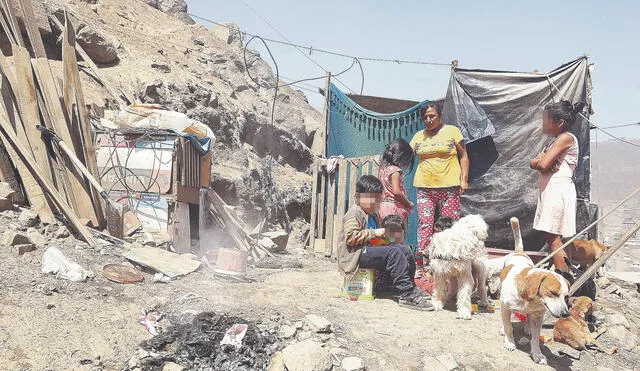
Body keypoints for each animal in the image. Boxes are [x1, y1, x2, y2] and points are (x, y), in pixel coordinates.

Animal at [500, 218, 568, 366]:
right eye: (553, 292)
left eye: (567, 297)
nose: (566, 314)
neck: (529, 299)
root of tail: (519, 252)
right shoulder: (505, 307)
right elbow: (508, 327)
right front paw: (509, 342)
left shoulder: (538, 316)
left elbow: (536, 338)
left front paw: (537, 354)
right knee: (506, 320)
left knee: (528, 318)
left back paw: (527, 328)